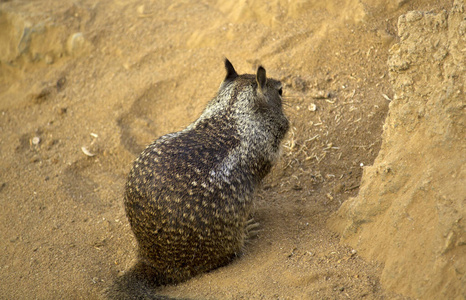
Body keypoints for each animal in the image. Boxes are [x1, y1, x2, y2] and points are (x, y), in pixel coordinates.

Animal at [108, 58, 290, 298]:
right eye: (279, 90)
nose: (281, 83)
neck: (232, 110)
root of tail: (154, 261)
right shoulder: (269, 144)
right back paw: (247, 232)